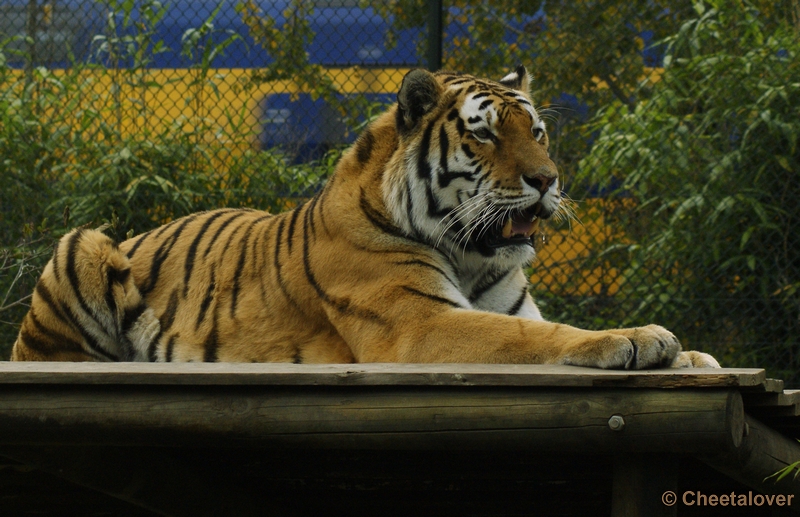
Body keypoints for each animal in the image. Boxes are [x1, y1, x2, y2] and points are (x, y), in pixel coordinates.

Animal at [9, 66, 720, 366]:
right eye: (486, 135)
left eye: (538, 132)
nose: (547, 181)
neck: (473, 257)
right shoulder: (417, 324)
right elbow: (532, 339)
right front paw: (635, 338)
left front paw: (693, 358)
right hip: (80, 244)